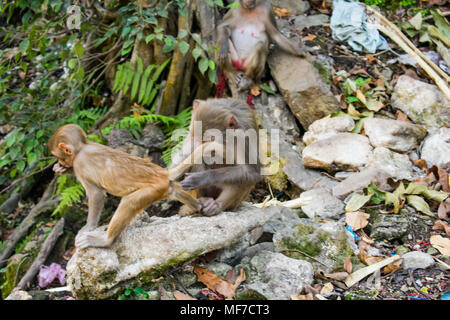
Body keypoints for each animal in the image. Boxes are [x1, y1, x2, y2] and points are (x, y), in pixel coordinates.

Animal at [49, 124, 202, 249]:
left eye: (60, 156)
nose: (60, 162)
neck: (83, 147)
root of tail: (162, 174)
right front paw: (61, 169)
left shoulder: (80, 164)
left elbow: (96, 194)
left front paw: (89, 227)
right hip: (165, 187)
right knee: (175, 190)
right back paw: (197, 207)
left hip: (153, 189)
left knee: (129, 202)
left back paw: (105, 241)